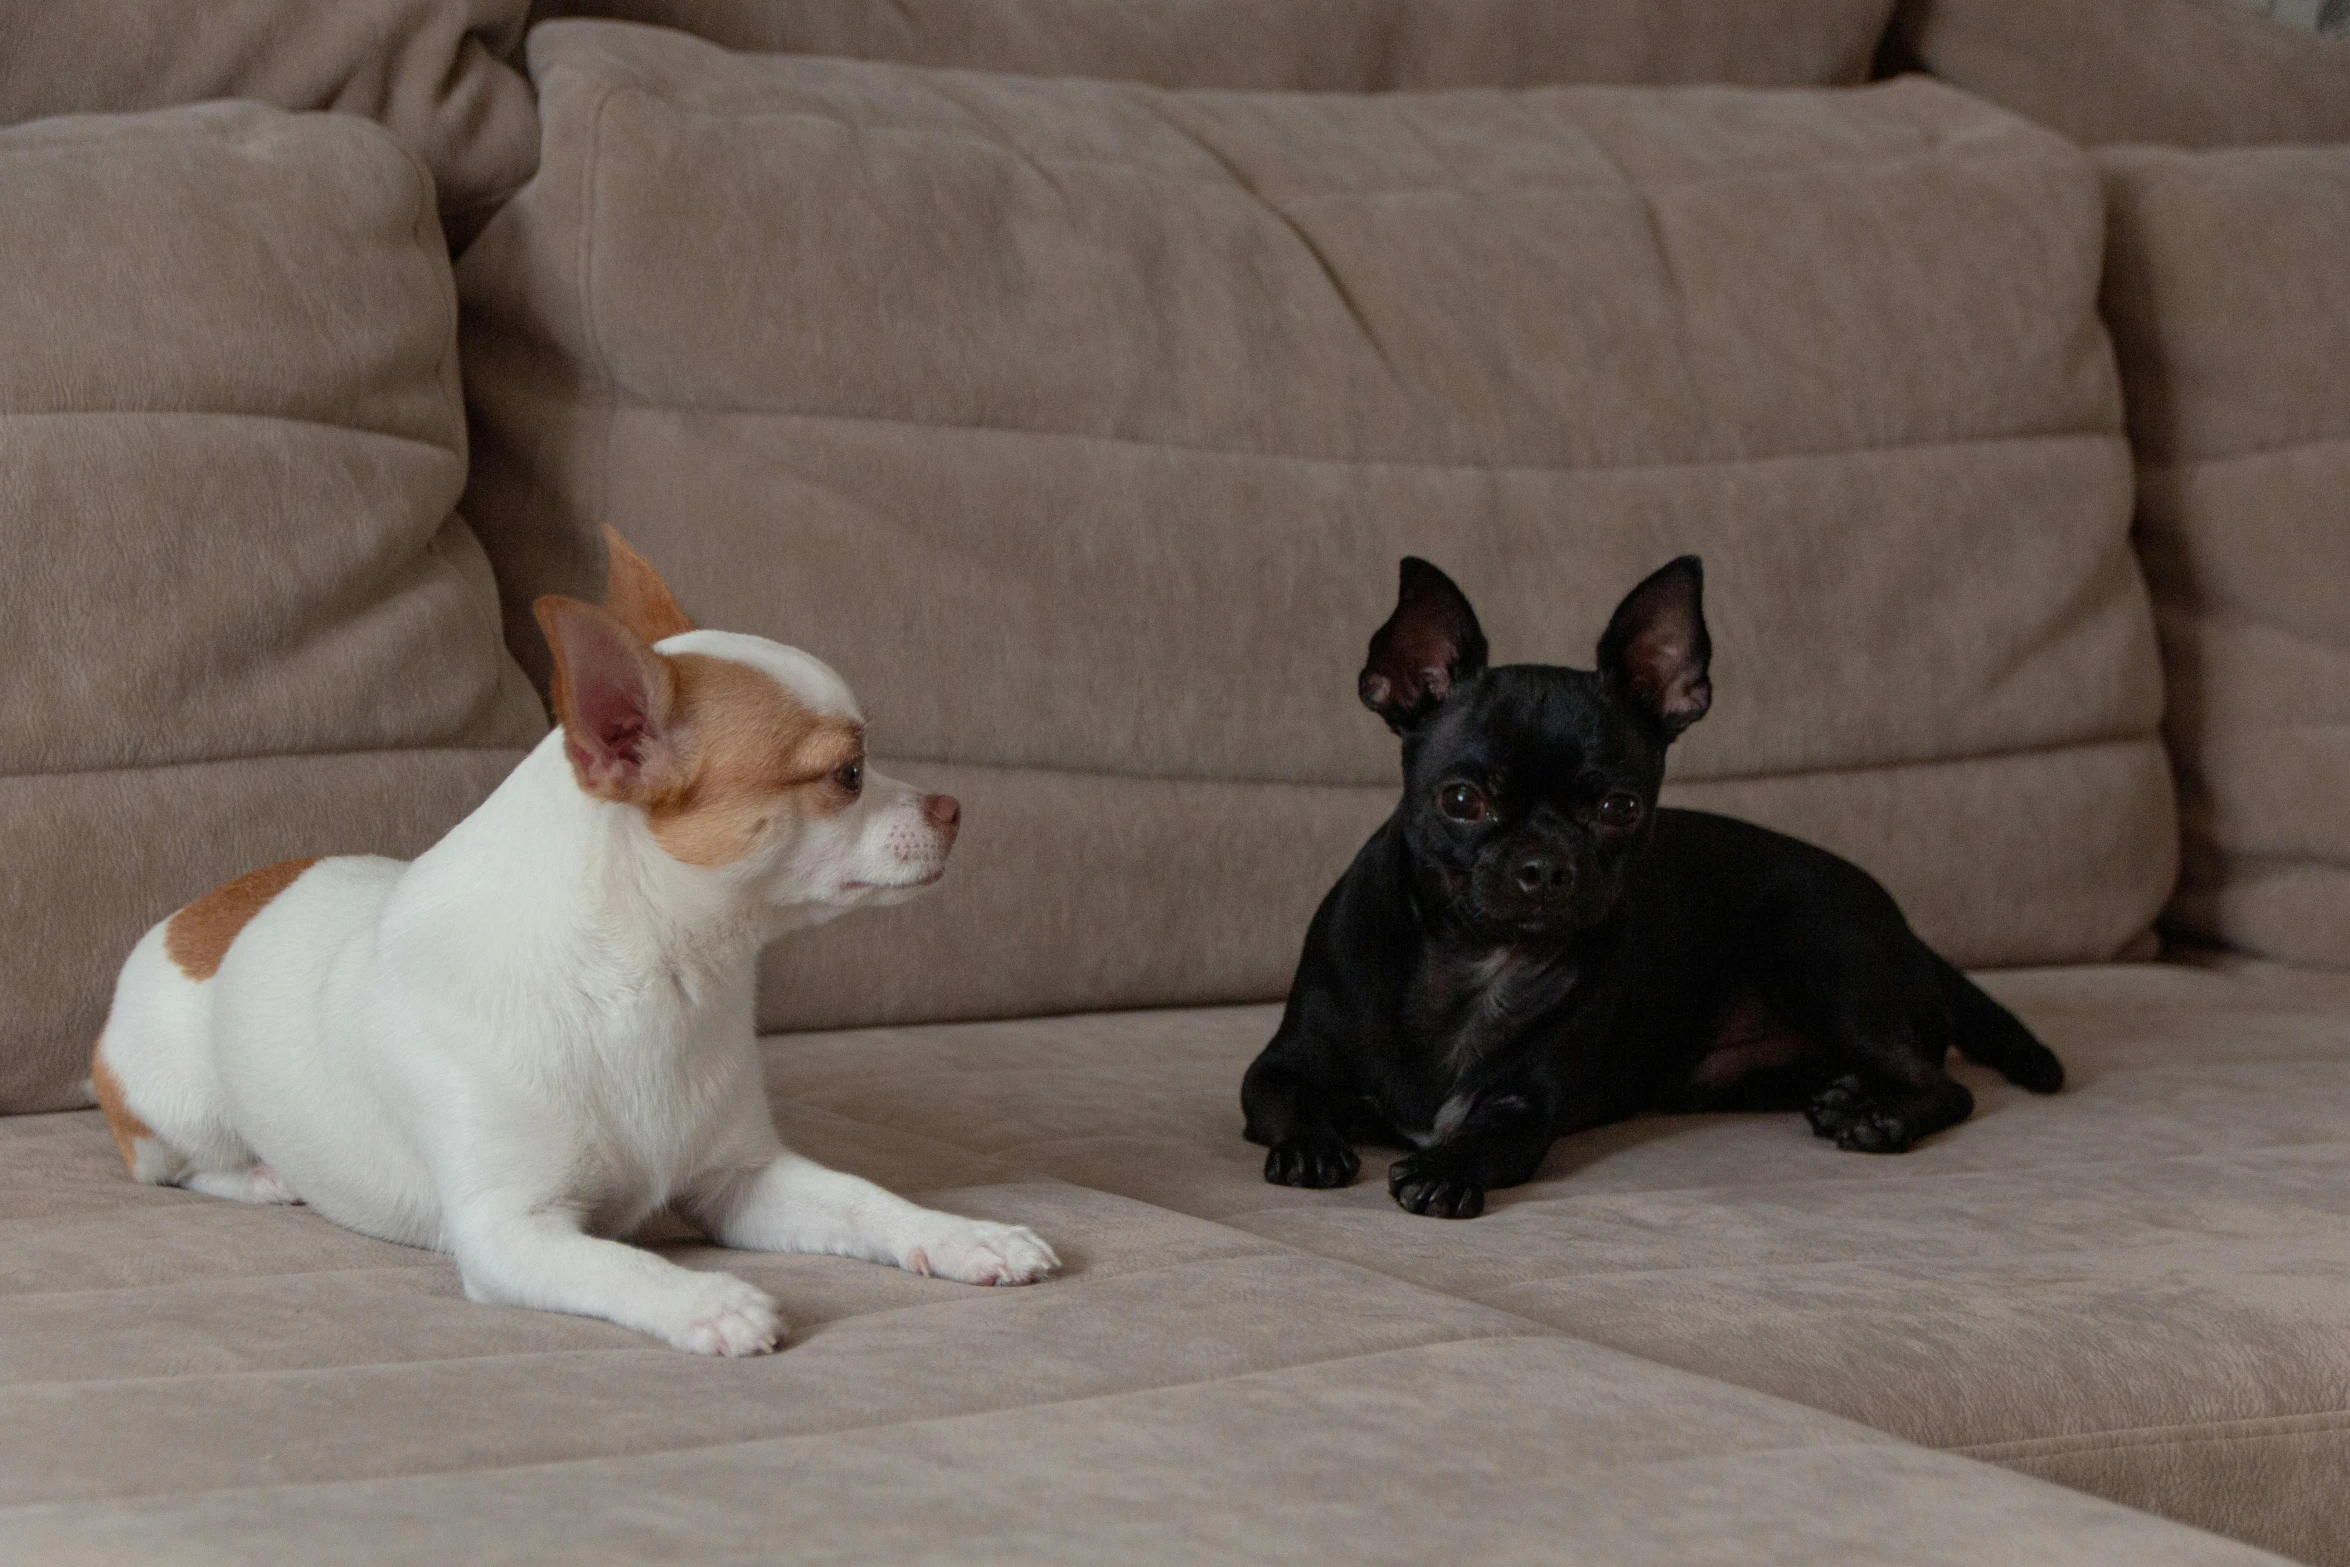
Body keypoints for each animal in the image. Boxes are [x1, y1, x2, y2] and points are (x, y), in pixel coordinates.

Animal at [91, 533, 1062, 1353]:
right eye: (847, 775)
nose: (954, 807)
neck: (658, 978)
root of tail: (196, 912)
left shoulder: (743, 1182)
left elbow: (866, 1199)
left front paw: (964, 1233)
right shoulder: (511, 1230)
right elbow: (620, 1259)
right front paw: (706, 1298)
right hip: (175, 1109)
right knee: (170, 1167)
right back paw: (261, 1175)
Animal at [1240, 556, 2068, 1221]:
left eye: (1620, 808)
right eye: (1462, 800)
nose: (1545, 864)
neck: (1475, 962)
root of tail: (1911, 934)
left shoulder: (1525, 1105)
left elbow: (1494, 1137)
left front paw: (1446, 1168)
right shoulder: (1281, 1065)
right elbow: (1286, 1097)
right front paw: (1313, 1144)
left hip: (1813, 947)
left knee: (1946, 1084)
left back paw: (1880, 1118)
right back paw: (1850, 1097)